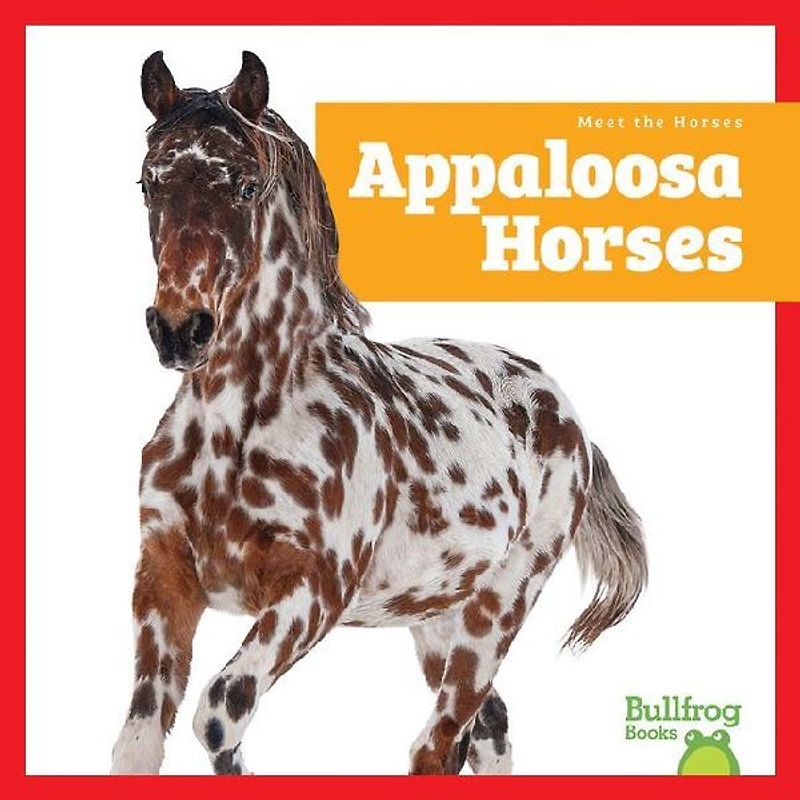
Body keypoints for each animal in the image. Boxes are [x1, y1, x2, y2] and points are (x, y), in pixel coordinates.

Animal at [111, 51, 647, 775]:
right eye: (149, 183)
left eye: (246, 186)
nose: (178, 329)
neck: (238, 430)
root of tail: (565, 413)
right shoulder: (165, 579)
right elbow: (139, 744)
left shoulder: (313, 592)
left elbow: (220, 713)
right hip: (435, 617)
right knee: (485, 731)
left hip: (497, 609)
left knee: (438, 743)